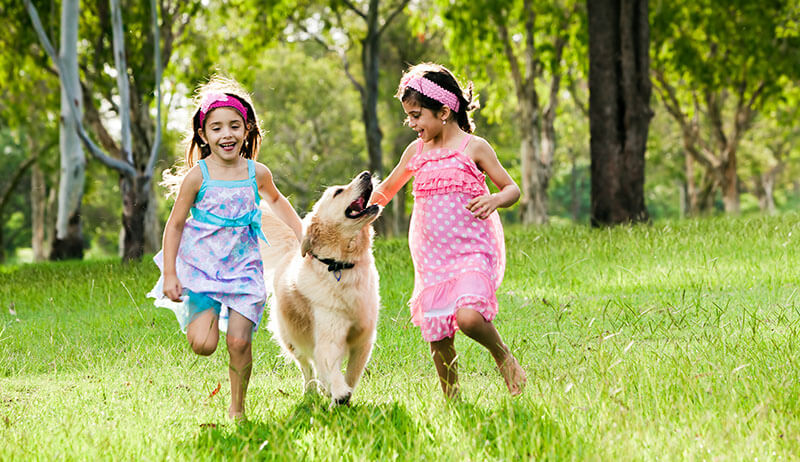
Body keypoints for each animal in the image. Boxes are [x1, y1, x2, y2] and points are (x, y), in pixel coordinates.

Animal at [259, 171, 382, 405]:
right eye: (338, 192)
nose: (366, 174)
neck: (340, 264)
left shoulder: (364, 339)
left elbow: (352, 373)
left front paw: (344, 395)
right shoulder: (328, 333)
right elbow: (329, 365)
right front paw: (339, 392)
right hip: (291, 338)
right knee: (307, 367)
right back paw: (312, 392)